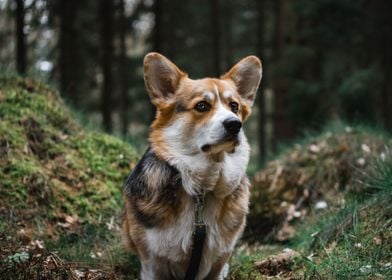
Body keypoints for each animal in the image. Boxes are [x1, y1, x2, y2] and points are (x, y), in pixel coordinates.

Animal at [122, 53, 262, 280]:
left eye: (234, 106)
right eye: (202, 106)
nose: (235, 124)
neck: (202, 189)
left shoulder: (218, 262)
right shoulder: (152, 263)